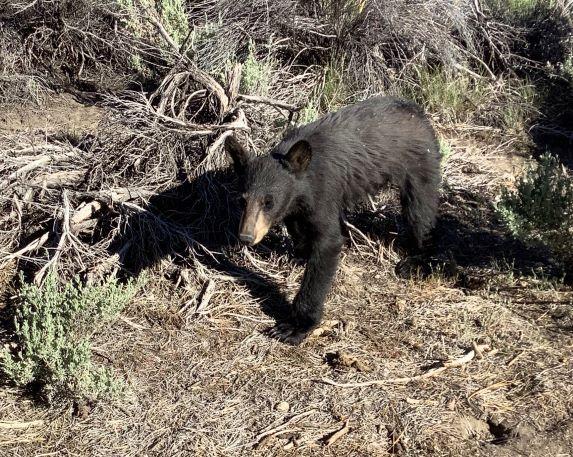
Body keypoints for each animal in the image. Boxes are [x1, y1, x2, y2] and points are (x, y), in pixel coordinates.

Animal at [223, 97, 438, 346]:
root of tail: (417, 110)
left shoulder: (325, 191)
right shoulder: (298, 205)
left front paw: (294, 327)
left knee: (421, 211)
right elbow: (298, 226)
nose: (246, 237)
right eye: (242, 200)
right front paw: (300, 254)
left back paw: (415, 260)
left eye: (269, 202)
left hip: (420, 161)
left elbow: (327, 246)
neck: (304, 182)